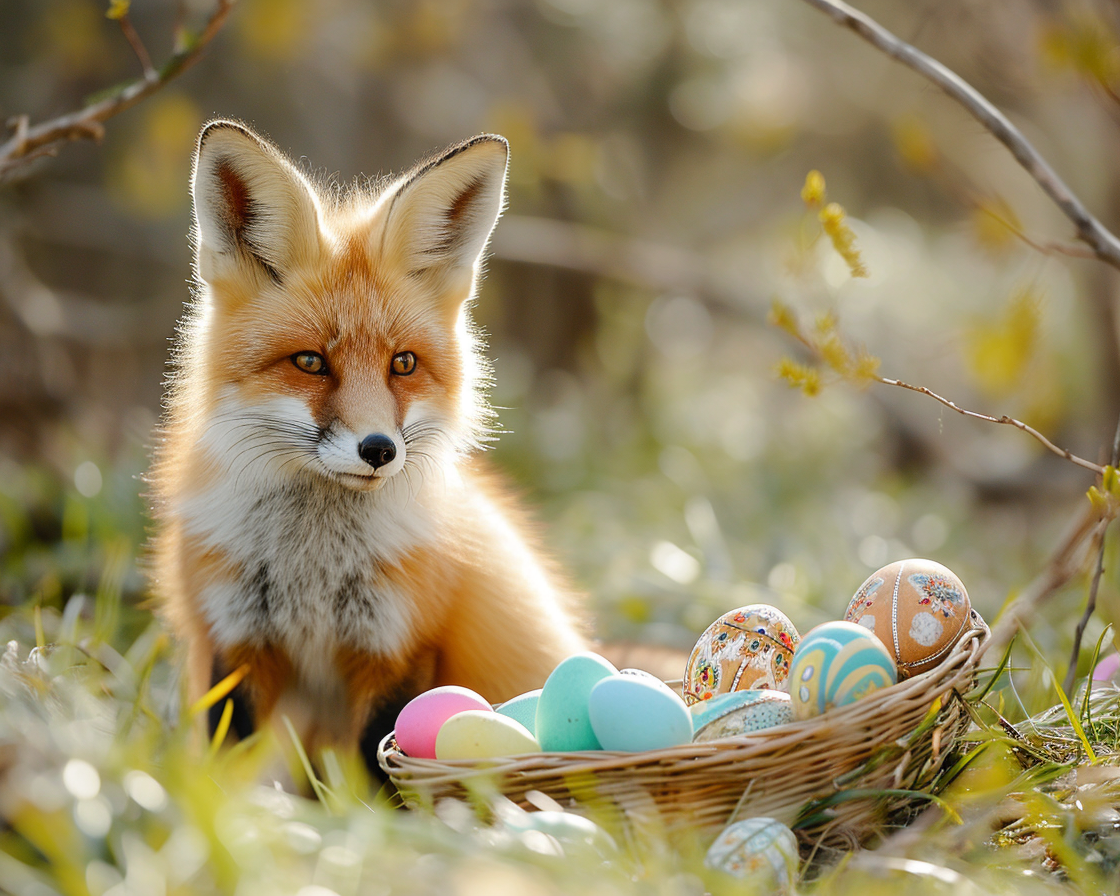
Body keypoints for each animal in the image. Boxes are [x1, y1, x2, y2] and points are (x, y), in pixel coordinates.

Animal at [147, 120, 589, 768]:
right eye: (310, 362)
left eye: (402, 364)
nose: (380, 450)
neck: (313, 567)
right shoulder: (236, 642)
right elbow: (228, 766)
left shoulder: (399, 649)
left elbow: (381, 770)